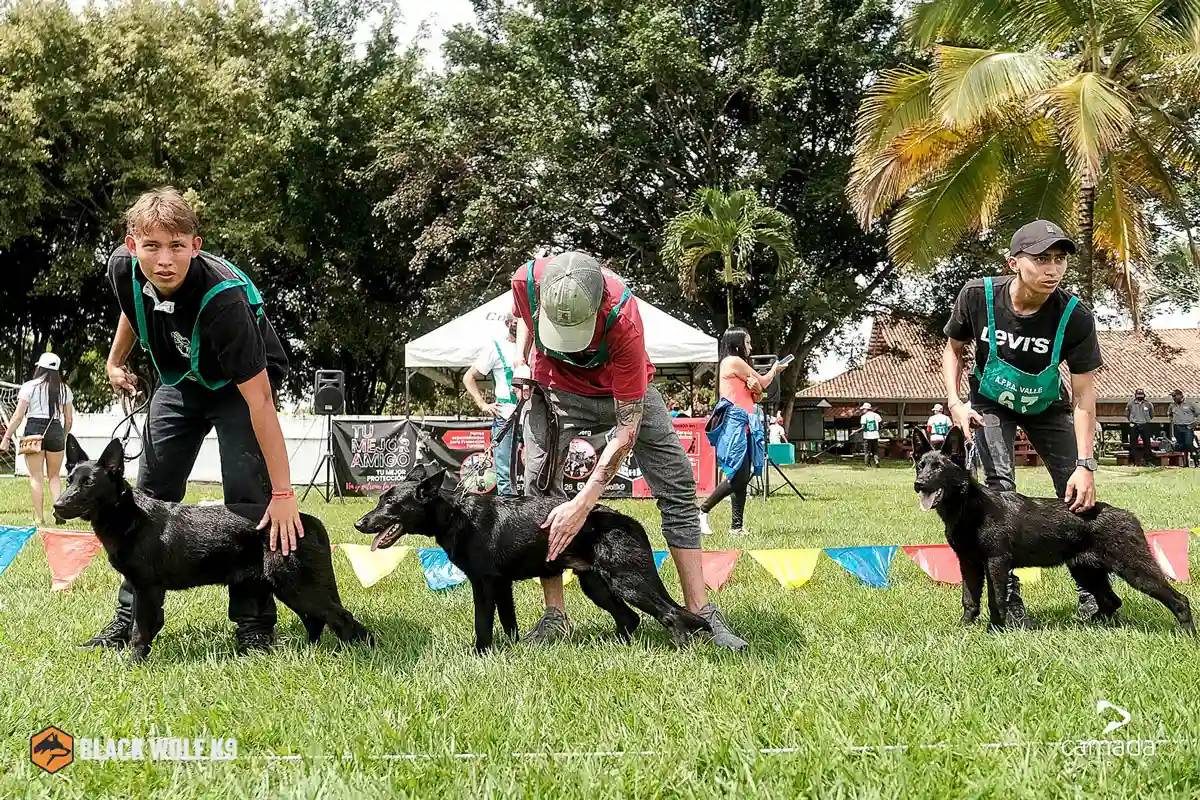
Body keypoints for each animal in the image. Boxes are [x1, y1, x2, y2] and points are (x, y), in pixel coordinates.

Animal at [54, 438, 372, 662]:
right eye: (69, 480)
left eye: (89, 483)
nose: (57, 505)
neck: (131, 517)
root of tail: (306, 519)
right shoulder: (144, 590)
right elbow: (143, 626)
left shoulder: (147, 589)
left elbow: (139, 631)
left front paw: (133, 664)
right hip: (290, 588)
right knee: (317, 621)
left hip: (296, 585)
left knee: (342, 618)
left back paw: (360, 652)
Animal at [355, 462, 710, 652]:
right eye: (381, 499)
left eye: (390, 503)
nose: (359, 523)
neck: (457, 516)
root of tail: (628, 521)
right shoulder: (502, 586)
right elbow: (508, 622)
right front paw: (511, 649)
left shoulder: (484, 585)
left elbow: (482, 623)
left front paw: (480, 654)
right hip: (596, 585)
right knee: (630, 618)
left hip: (627, 582)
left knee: (671, 614)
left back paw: (681, 647)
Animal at [916, 429, 1190, 633]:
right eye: (920, 466)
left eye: (938, 467)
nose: (918, 484)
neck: (970, 507)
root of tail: (1127, 514)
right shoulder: (969, 563)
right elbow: (970, 599)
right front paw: (964, 628)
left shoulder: (996, 563)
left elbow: (996, 600)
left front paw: (995, 630)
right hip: (1086, 571)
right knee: (1112, 601)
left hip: (1136, 571)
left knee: (1179, 600)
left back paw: (1186, 633)